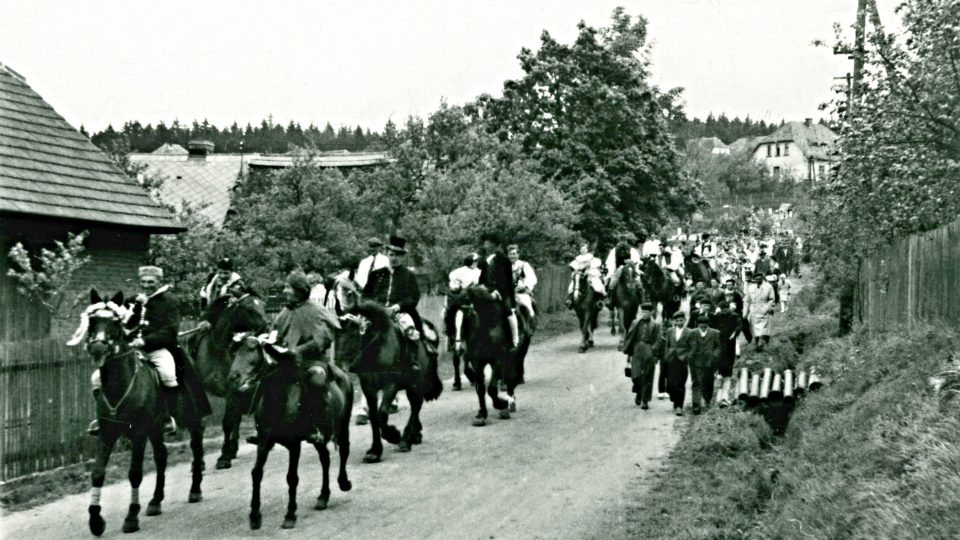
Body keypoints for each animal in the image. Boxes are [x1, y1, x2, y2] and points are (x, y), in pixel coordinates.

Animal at [67, 294, 204, 536]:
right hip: (155, 429)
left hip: (192, 418)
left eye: (115, 323)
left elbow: (135, 473)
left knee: (196, 447)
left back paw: (195, 490)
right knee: (161, 456)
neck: (119, 384)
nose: (98, 349)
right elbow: (97, 473)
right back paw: (155, 501)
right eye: (92, 322)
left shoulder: (138, 433)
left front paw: (131, 518)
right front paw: (95, 520)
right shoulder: (107, 432)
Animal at [181, 292, 268, 468]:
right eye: (248, 308)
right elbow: (202, 424)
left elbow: (228, 422)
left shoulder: (231, 391)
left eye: (263, 305)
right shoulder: (205, 391)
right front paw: (199, 461)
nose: (267, 328)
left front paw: (223, 457)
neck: (216, 349)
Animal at [230, 336, 356, 528]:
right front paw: (255, 515)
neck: (278, 402)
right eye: (236, 351)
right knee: (325, 458)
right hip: (318, 439)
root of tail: (342, 374)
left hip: (343, 424)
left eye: (252, 350)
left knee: (343, 449)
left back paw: (344, 482)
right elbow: (257, 473)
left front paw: (290, 515)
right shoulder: (264, 441)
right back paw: (323, 496)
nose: (233, 377)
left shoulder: (294, 444)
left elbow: (292, 478)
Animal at [332, 280, 444, 462]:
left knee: (416, 406)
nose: (340, 367)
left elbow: (381, 414)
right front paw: (375, 451)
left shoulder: (390, 385)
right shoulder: (368, 387)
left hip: (416, 384)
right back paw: (415, 435)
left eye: (353, 330)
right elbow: (373, 417)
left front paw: (393, 435)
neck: (377, 346)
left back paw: (406, 439)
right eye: (335, 332)